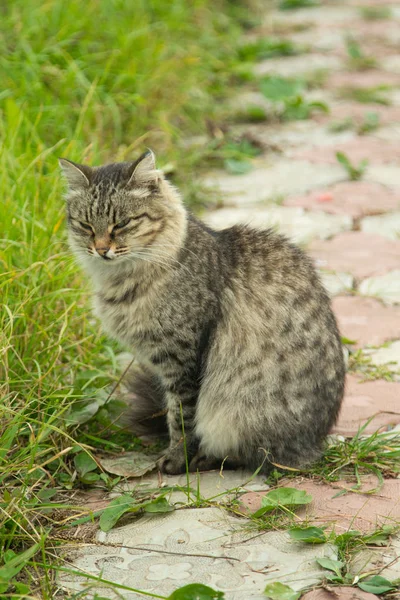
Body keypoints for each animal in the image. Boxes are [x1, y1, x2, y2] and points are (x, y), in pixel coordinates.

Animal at [61, 152, 346, 476]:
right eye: (86, 225)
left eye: (121, 224)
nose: (101, 249)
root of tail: (316, 443)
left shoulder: (183, 360)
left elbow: (181, 419)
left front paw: (175, 461)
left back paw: (206, 460)